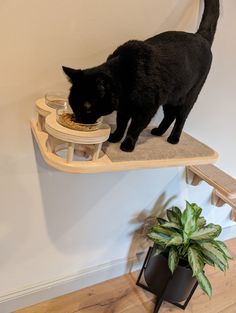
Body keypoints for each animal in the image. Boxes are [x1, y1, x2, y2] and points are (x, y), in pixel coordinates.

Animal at [62, 0, 219, 151]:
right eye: (72, 104)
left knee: (181, 117)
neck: (125, 76)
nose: (79, 119)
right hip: (170, 97)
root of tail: (200, 36)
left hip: (189, 96)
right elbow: (121, 124)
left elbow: (134, 127)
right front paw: (115, 137)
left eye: (87, 107)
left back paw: (173, 138)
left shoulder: (146, 110)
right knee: (169, 115)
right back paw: (159, 131)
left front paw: (127, 144)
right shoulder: (124, 108)